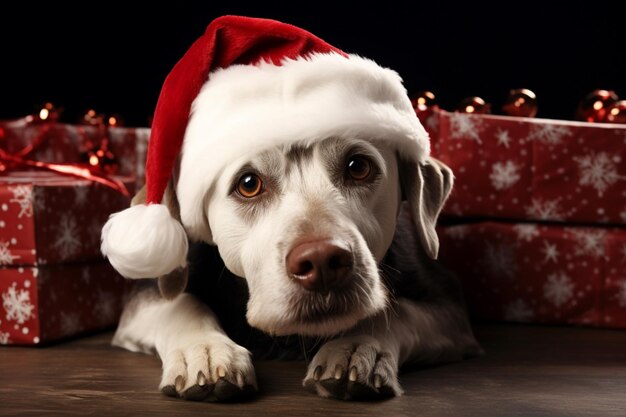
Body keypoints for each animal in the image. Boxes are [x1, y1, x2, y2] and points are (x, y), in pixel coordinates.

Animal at [111, 136, 478, 400]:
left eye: (358, 166)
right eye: (248, 183)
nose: (322, 262)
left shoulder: (450, 306)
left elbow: (397, 309)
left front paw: (358, 346)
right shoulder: (145, 296)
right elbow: (183, 302)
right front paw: (206, 351)